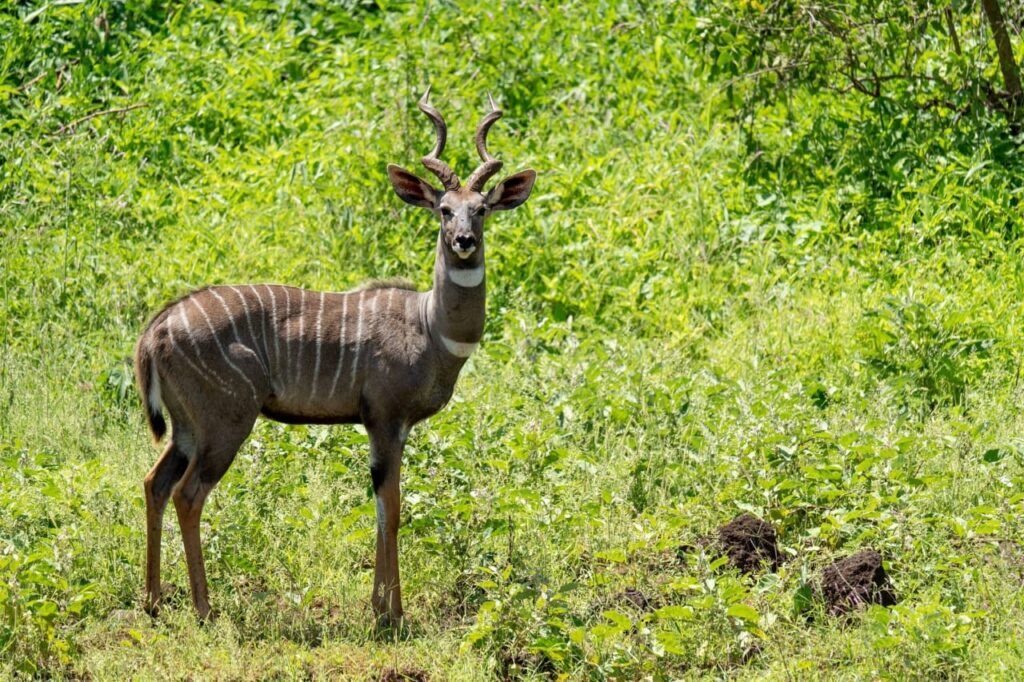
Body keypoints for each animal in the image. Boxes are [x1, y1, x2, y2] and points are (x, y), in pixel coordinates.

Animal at [134, 90, 536, 624]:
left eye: (483, 209)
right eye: (445, 210)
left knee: (154, 484)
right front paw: (391, 613)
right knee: (187, 494)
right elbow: (393, 507)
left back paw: (154, 602)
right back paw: (203, 609)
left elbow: (382, 505)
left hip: (186, 427)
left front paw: (380, 606)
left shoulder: (386, 425)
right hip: (225, 420)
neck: (430, 328)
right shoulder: (385, 417)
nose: (464, 242)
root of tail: (155, 330)